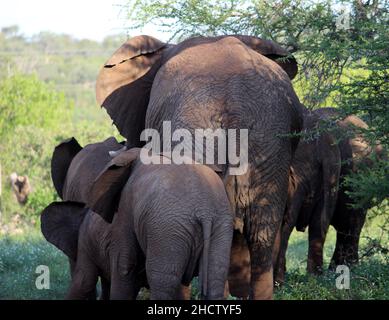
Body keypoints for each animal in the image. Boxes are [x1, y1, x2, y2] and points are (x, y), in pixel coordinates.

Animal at [41, 139, 232, 302]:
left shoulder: (127, 203)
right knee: (215, 276)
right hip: (220, 225)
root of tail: (204, 213)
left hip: (167, 229)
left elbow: (123, 266)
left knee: (162, 280)